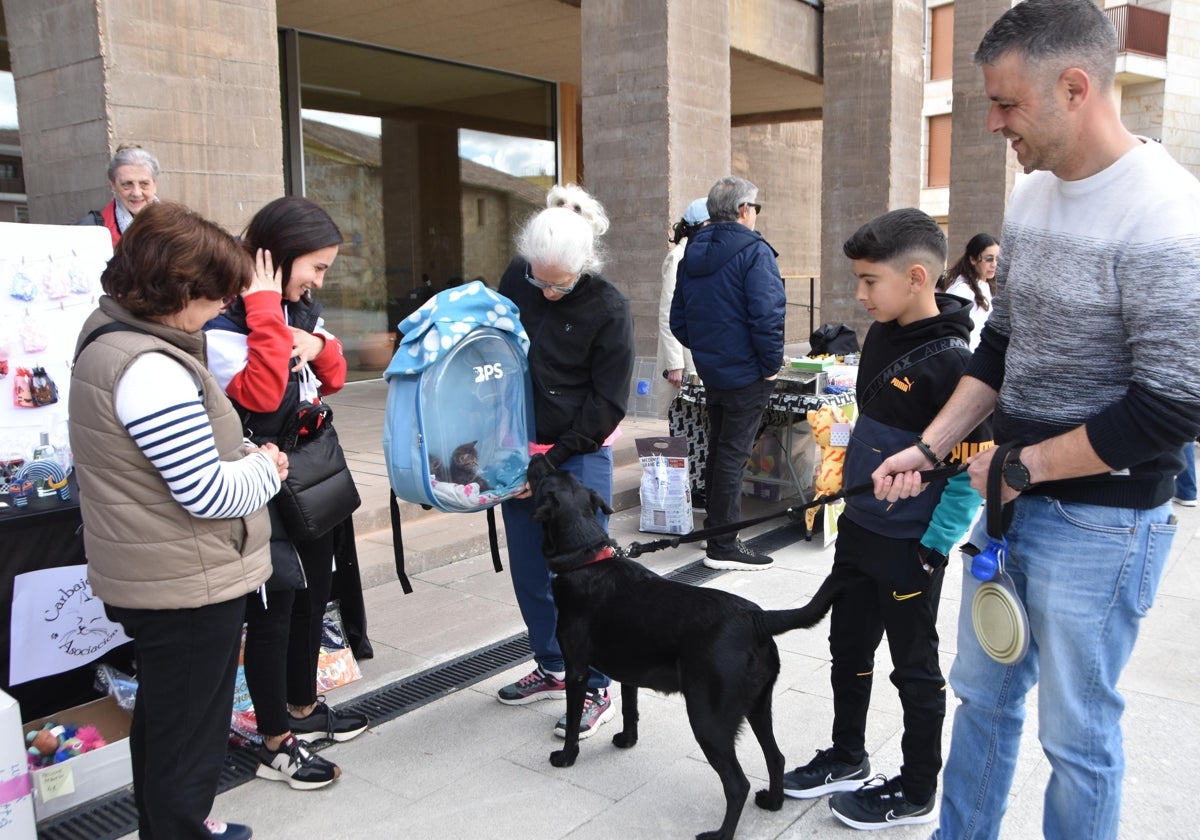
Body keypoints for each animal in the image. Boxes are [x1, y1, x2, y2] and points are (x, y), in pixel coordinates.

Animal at [530, 458, 849, 840]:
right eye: (558, 473)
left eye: (544, 479)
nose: (540, 457)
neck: (587, 557)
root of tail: (756, 619)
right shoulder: (629, 673)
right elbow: (630, 710)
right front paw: (626, 740)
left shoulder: (576, 670)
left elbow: (575, 718)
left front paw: (565, 757)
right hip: (759, 706)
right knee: (776, 758)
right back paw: (772, 802)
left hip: (708, 719)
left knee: (737, 784)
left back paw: (721, 834)